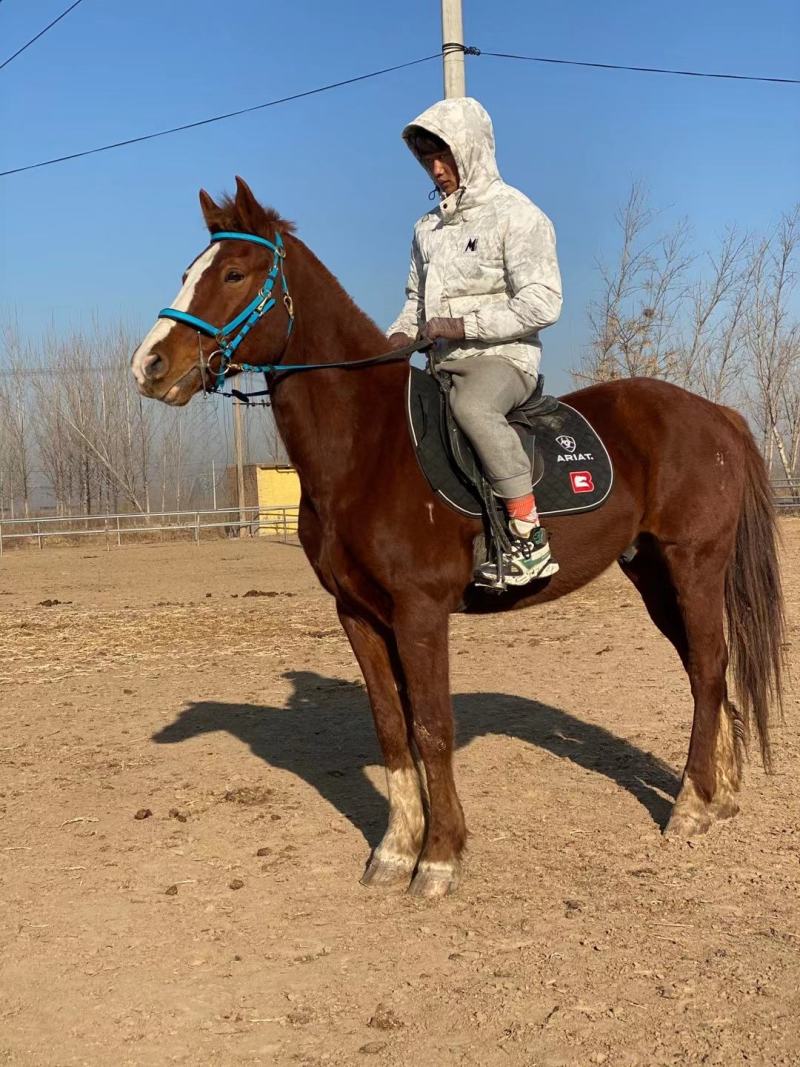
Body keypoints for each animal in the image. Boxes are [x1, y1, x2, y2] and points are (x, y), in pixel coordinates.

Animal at [131, 177, 785, 899]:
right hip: (653, 574)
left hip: (694, 564)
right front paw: (394, 851)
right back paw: (719, 797)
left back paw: (691, 807)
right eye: (188, 273)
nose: (149, 365)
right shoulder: (358, 614)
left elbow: (432, 727)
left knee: (708, 668)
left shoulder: (420, 613)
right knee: (706, 670)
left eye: (234, 273)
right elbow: (391, 728)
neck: (367, 445)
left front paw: (440, 857)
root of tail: (715, 413)